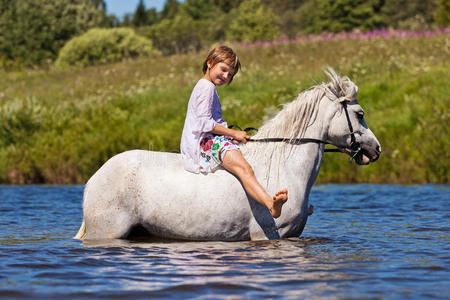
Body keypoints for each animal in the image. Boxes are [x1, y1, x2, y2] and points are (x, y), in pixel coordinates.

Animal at [74, 68, 380, 241]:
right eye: (360, 114)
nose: (375, 150)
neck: (287, 167)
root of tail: (93, 179)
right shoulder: (268, 235)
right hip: (107, 232)